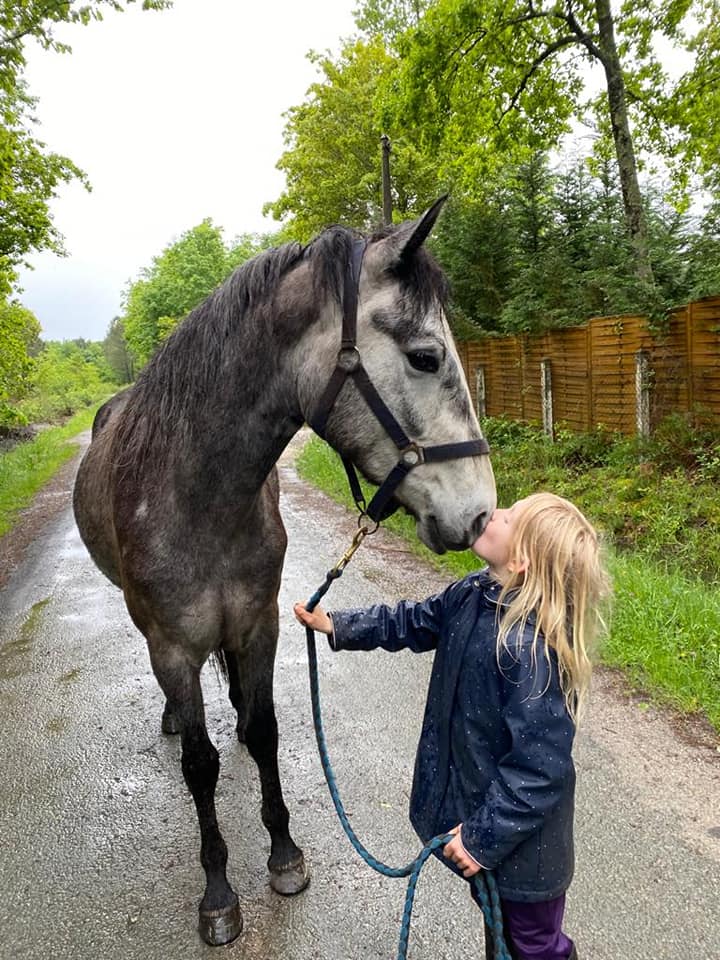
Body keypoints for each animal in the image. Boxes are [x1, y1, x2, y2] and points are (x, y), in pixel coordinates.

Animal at [73, 199, 496, 948]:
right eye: (425, 356)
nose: (480, 513)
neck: (199, 496)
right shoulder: (172, 648)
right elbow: (200, 766)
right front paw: (218, 893)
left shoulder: (259, 623)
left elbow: (267, 731)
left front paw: (285, 856)